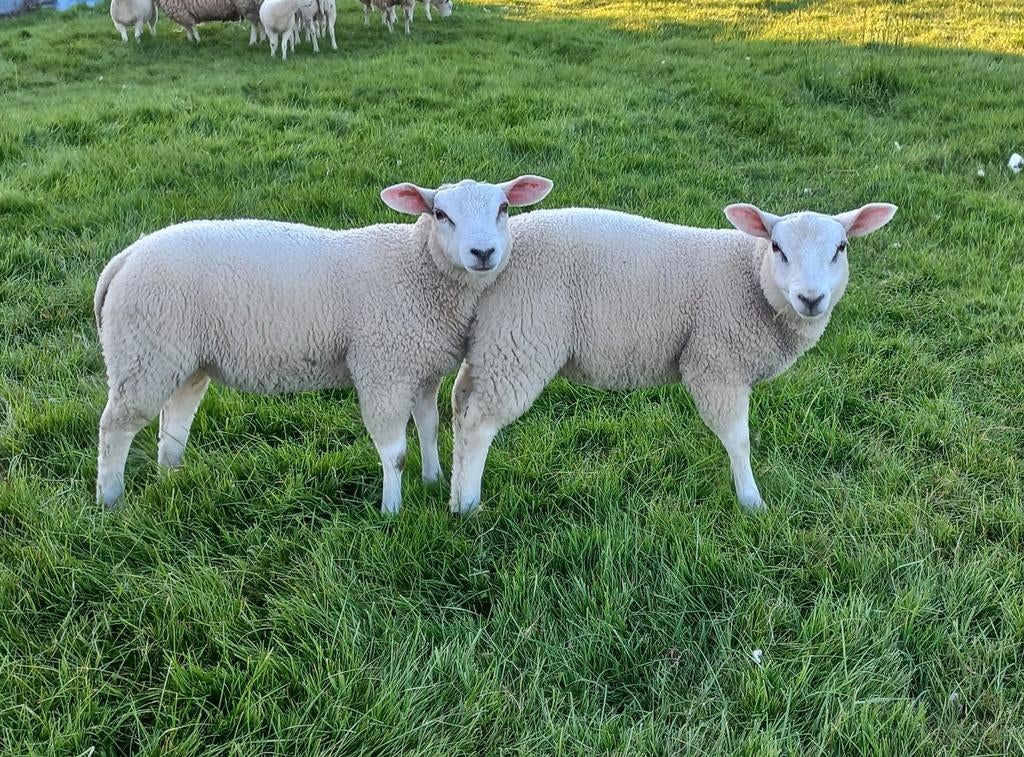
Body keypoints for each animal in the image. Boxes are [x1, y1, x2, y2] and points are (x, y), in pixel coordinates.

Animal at [93, 176, 554, 514]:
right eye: (441, 214)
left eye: (504, 208)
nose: (483, 252)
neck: (416, 268)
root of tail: (125, 257)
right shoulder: (382, 369)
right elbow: (394, 452)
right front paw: (392, 510)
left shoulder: (420, 367)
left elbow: (429, 427)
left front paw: (434, 479)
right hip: (143, 353)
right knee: (115, 426)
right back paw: (111, 500)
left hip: (183, 360)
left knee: (173, 423)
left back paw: (171, 479)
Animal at [448, 202, 898, 515]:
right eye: (777, 247)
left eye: (841, 248)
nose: (811, 298)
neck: (751, 279)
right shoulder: (716, 363)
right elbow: (738, 439)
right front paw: (751, 501)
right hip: (520, 340)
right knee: (478, 422)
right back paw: (468, 505)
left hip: (492, 341)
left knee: (459, 404)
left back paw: (451, 490)